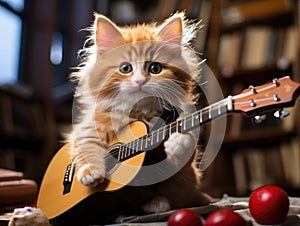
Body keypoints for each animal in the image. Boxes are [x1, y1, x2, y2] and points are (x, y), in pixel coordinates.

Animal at [69, 11, 212, 214]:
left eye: (155, 68)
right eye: (125, 68)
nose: (139, 81)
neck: (138, 113)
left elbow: (186, 146)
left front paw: (178, 143)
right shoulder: (86, 128)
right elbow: (86, 147)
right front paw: (90, 171)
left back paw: (157, 204)